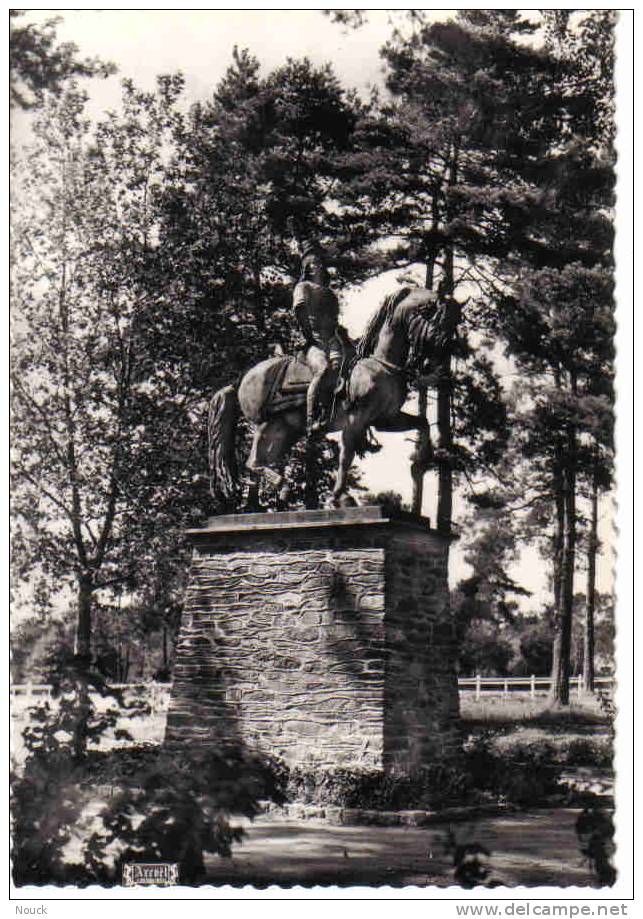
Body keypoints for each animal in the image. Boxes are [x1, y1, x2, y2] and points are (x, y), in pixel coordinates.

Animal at [208, 288, 458, 510]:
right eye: (438, 320)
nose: (448, 350)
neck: (379, 365)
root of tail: (242, 379)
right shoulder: (356, 419)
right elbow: (346, 457)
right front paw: (338, 497)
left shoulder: (386, 419)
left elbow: (422, 423)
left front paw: (420, 462)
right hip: (266, 425)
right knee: (253, 462)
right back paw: (280, 489)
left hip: (284, 431)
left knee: (260, 462)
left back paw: (269, 500)